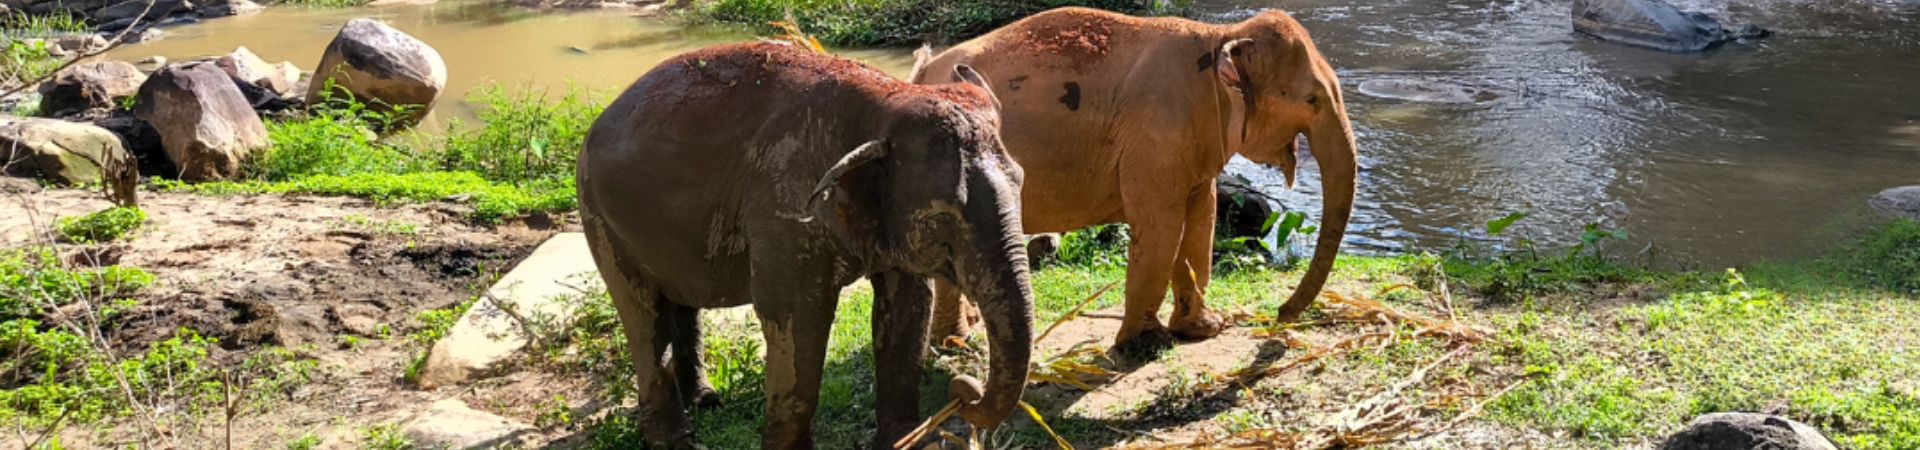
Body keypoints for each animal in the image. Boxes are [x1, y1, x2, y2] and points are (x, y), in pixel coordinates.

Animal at [576, 42, 1034, 449]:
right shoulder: (783, 211)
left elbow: (908, 306)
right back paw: (675, 441)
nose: (964, 391)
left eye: (1021, 182)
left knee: (680, 301)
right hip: (598, 214)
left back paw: (705, 400)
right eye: (943, 216)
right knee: (642, 312)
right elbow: (798, 317)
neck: (884, 104)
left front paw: (901, 441)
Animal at [909, 7, 1360, 350]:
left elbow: (1201, 220)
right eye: (1311, 100)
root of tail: (922, 71)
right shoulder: (1155, 135)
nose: (1280, 315)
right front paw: (1146, 344)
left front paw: (1203, 329)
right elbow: (1161, 226)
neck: (1221, 37)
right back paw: (957, 343)